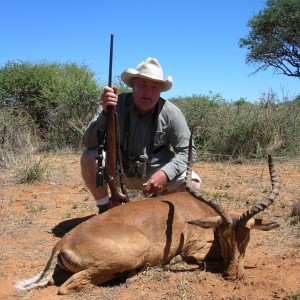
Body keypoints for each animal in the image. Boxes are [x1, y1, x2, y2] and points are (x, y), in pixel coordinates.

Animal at [14, 155, 282, 296]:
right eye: (224, 236)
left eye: (246, 237)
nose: (233, 274)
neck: (199, 209)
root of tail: (63, 242)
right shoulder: (194, 249)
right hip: (134, 252)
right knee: (68, 286)